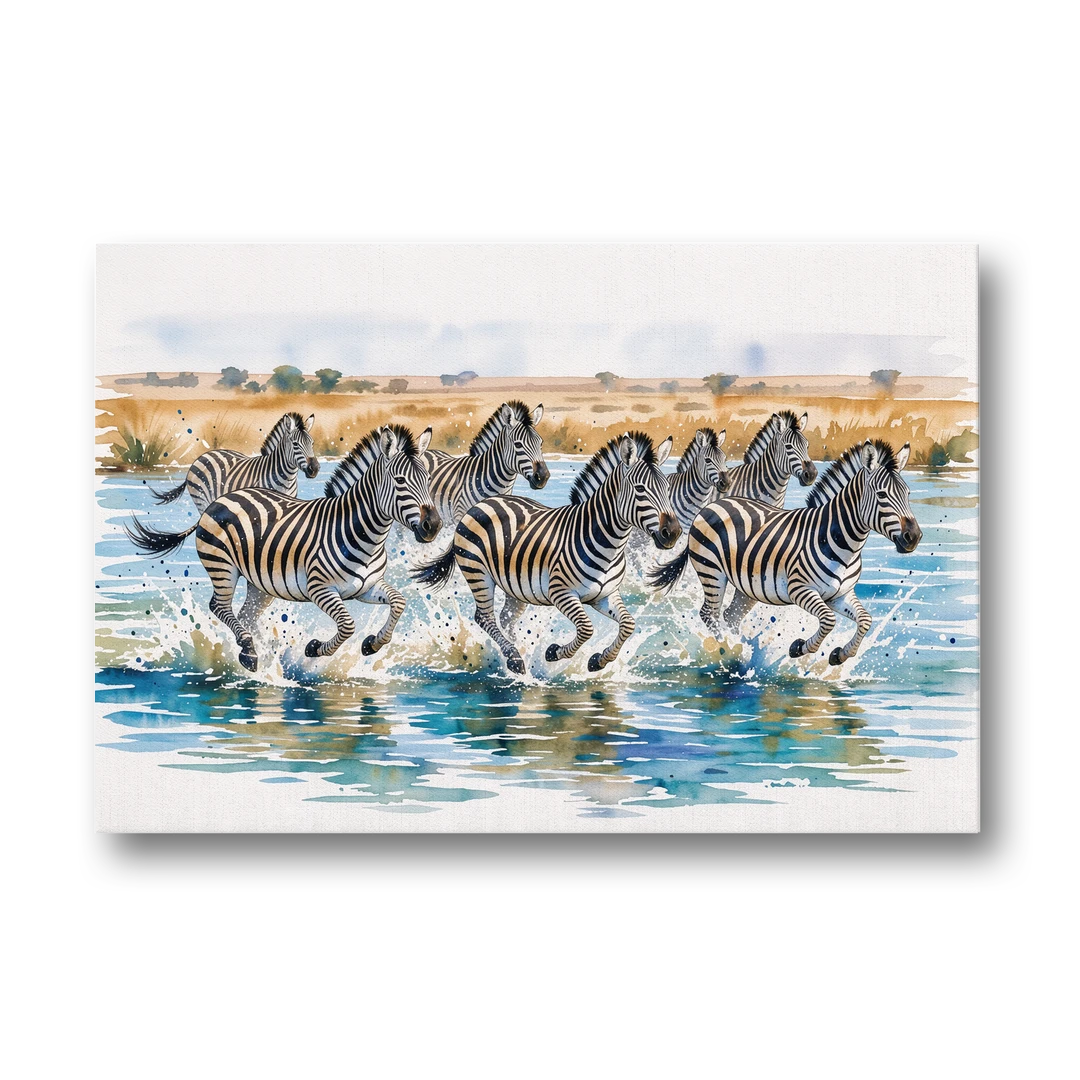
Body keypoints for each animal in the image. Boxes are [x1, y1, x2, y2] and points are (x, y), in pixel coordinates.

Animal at [128, 424, 441, 672]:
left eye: (428, 480)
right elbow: (347, 625)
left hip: (260, 582)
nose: (433, 525)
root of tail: (223, 497)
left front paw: (372, 644)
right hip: (222, 567)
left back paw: (258, 648)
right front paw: (313, 648)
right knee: (219, 606)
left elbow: (399, 602)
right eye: (400, 481)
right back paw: (249, 651)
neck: (363, 533)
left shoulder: (367, 587)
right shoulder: (319, 588)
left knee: (245, 615)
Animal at [414, 431, 679, 675]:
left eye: (668, 488)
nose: (673, 532)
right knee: (484, 617)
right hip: (477, 572)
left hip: (514, 585)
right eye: (640, 489)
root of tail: (483, 502)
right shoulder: (560, 592)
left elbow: (628, 625)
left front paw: (598, 661)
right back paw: (515, 659)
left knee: (505, 618)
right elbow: (586, 628)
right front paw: (553, 652)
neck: (607, 543)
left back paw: (520, 650)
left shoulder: (605, 595)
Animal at [647, 439, 921, 665]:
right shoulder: (800, 588)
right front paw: (799, 648)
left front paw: (840, 655)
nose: (914, 537)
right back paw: (727, 650)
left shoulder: (840, 594)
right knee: (710, 614)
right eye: (882, 495)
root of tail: (714, 503)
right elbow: (828, 620)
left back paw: (738, 648)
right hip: (712, 571)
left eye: (908, 494)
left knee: (729, 615)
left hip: (746, 586)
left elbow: (865, 620)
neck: (843, 542)